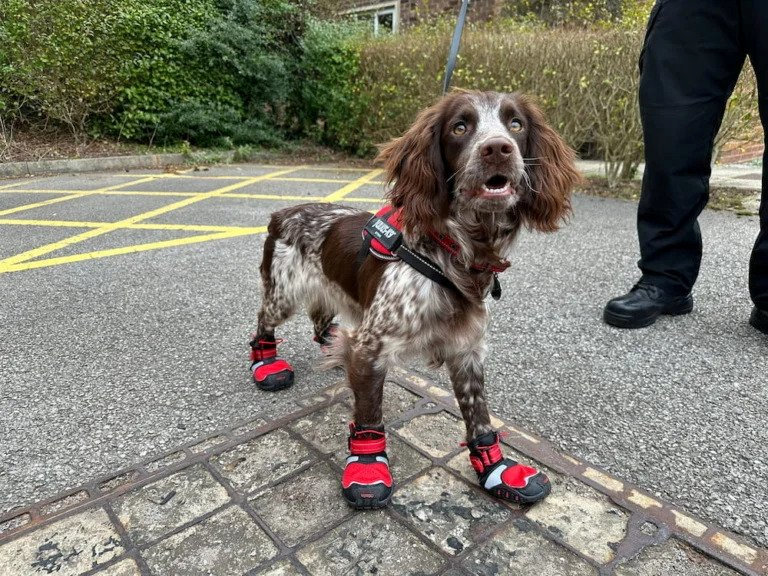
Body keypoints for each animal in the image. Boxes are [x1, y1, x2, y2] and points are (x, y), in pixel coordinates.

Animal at [249, 90, 580, 508]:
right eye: (460, 126)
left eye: (516, 124)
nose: (498, 149)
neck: (454, 252)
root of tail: (282, 211)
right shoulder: (372, 345)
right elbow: (369, 413)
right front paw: (367, 466)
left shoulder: (467, 349)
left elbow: (479, 416)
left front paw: (497, 468)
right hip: (283, 293)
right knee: (263, 323)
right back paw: (267, 364)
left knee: (323, 322)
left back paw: (334, 350)